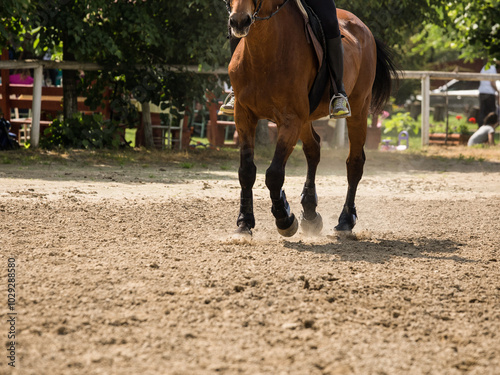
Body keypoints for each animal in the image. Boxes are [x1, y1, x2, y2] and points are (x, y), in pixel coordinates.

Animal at [226, 0, 394, 239]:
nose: (239, 22)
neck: (264, 52)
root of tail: (365, 30)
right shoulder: (244, 116)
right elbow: (246, 171)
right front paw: (244, 223)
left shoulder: (291, 120)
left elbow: (274, 174)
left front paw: (285, 219)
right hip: (306, 119)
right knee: (313, 149)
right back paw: (310, 213)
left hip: (359, 109)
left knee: (354, 163)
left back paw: (345, 221)